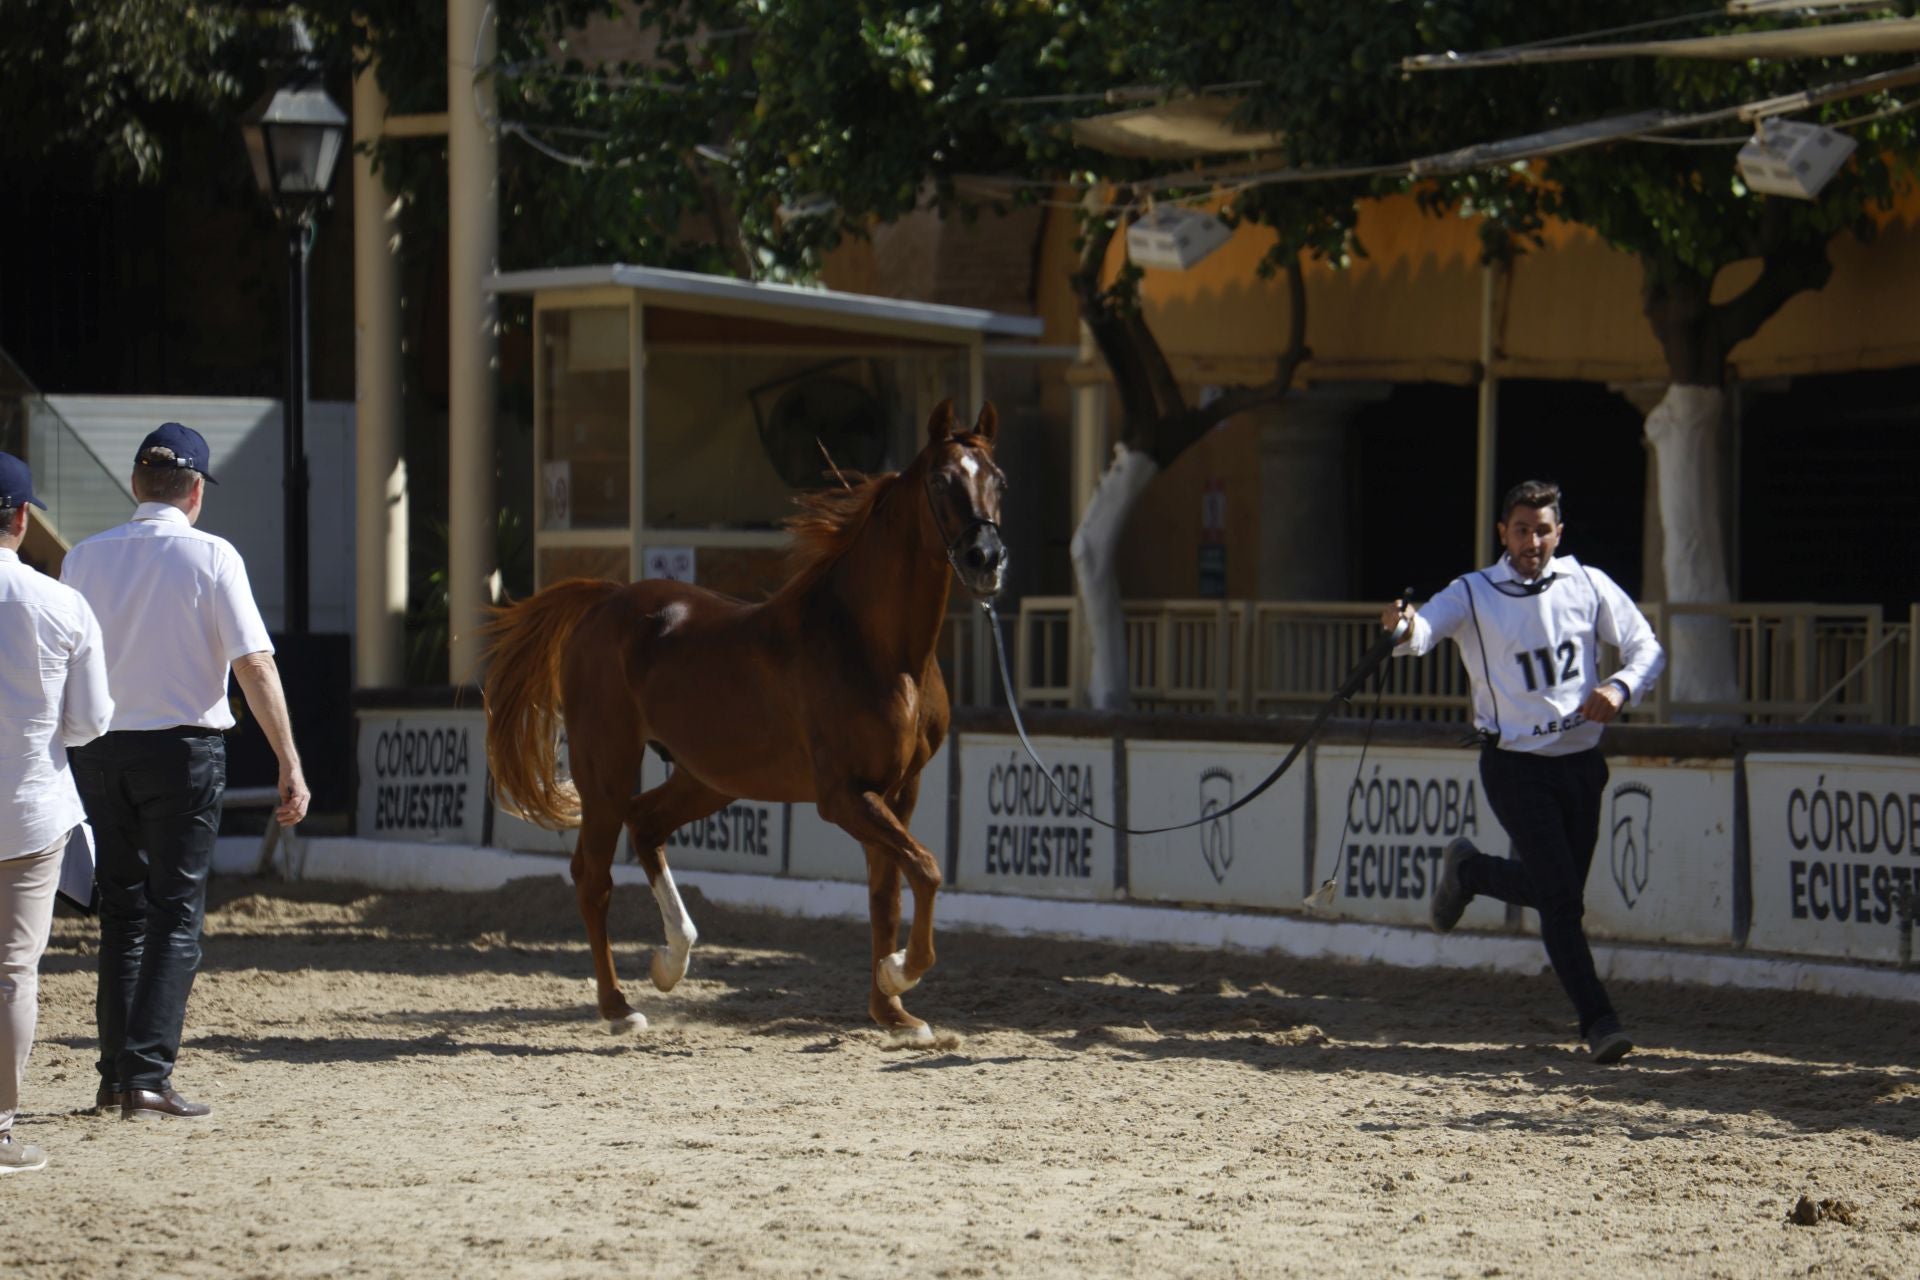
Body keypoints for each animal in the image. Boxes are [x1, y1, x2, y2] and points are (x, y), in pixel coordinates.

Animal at [481, 400, 1007, 1043]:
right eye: (940, 480)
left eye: (999, 480)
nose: (987, 561)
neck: (876, 647)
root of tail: (604, 600)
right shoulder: (843, 796)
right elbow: (927, 871)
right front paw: (899, 972)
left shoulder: (898, 791)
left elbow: (890, 892)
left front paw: (893, 1013)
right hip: (606, 768)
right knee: (592, 875)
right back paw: (619, 1007)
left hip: (708, 778)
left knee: (646, 826)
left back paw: (670, 960)